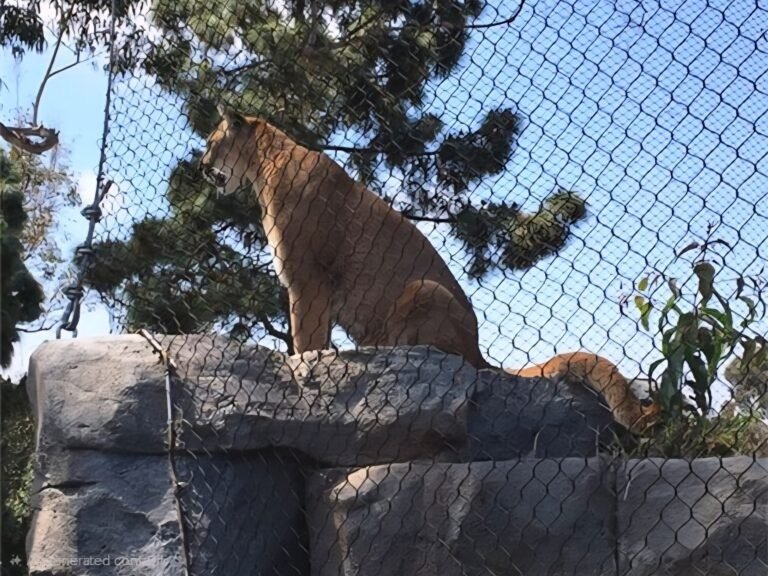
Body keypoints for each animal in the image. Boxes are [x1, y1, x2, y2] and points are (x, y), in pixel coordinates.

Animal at [200, 107, 657, 433]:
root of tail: (479, 350)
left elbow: (305, 333)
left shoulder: (307, 274)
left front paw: (303, 368)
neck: (266, 163)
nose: (202, 167)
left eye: (211, 142)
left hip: (423, 289)